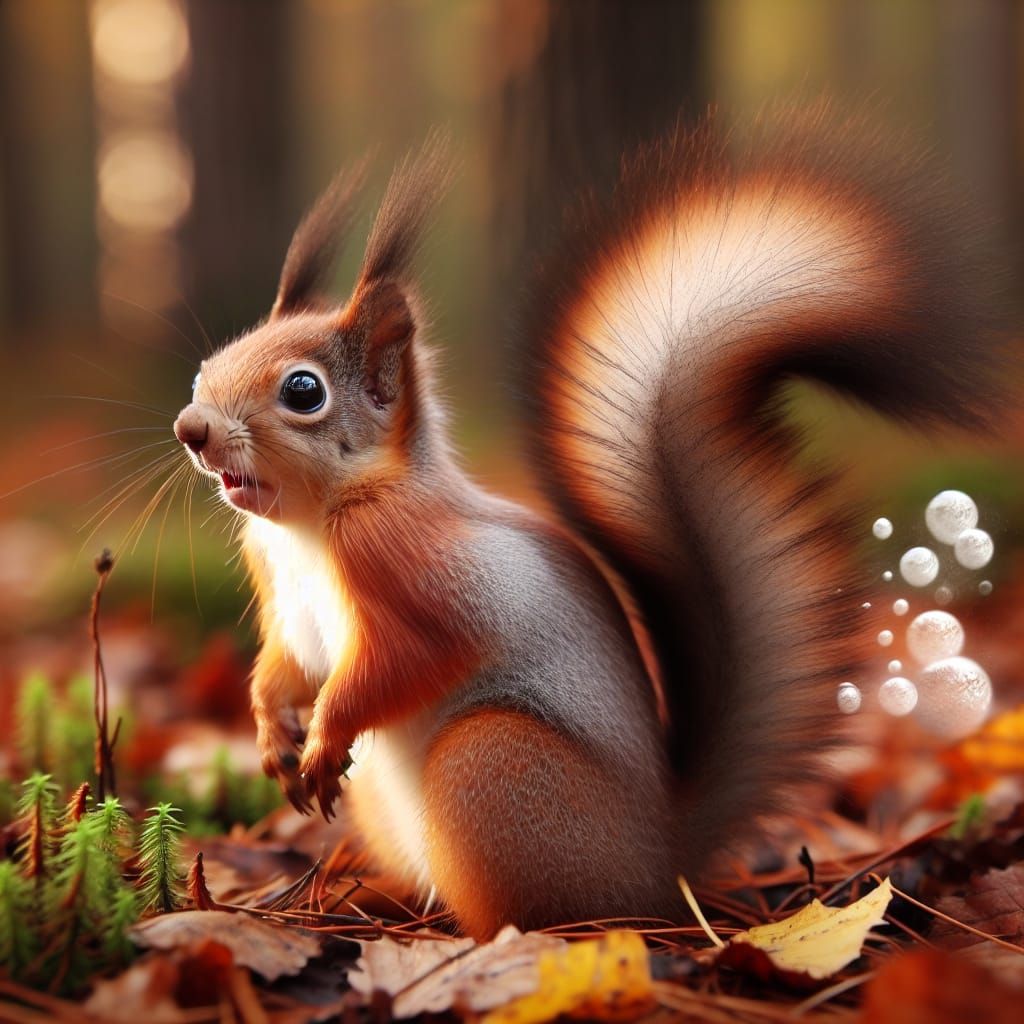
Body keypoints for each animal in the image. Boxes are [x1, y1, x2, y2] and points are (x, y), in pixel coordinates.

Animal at [173, 115, 1009, 939]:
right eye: (208, 366)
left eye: (303, 391)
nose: (191, 429)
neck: (310, 527)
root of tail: (662, 862)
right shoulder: (283, 593)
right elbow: (285, 663)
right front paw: (272, 733)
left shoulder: (416, 569)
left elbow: (402, 662)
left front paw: (322, 737)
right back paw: (371, 898)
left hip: (490, 762)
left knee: (527, 913)